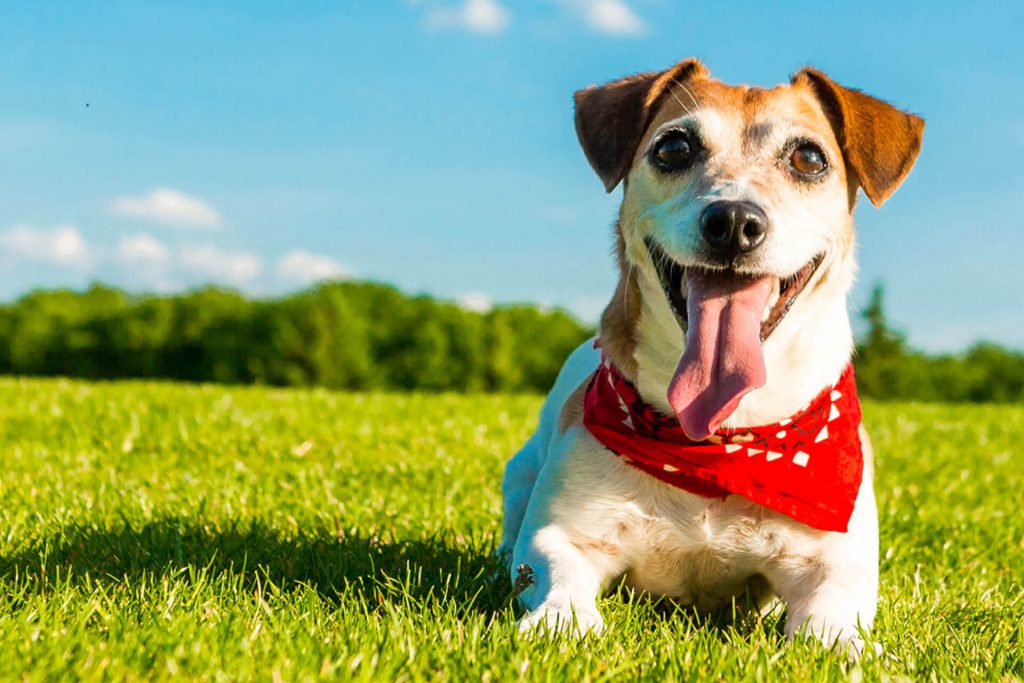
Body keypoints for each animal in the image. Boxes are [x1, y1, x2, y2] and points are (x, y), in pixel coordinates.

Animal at [499, 58, 925, 651]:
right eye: (674, 148)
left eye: (809, 158)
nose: (735, 222)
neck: (721, 440)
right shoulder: (563, 533)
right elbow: (554, 565)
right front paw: (563, 619)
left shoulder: (835, 560)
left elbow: (831, 610)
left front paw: (839, 645)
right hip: (519, 475)